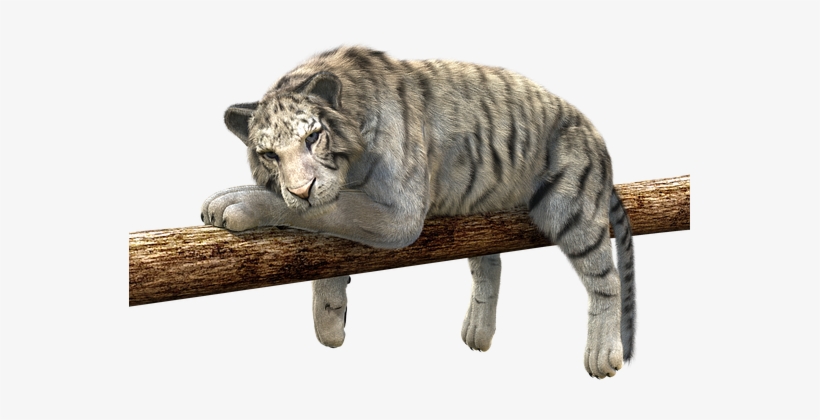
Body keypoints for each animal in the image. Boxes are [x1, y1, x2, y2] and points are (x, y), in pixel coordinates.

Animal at [201, 46, 636, 379]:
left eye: (313, 137)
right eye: (269, 154)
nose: (300, 189)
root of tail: (594, 133)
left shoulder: (398, 215)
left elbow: (324, 211)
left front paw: (234, 203)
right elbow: (327, 247)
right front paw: (330, 320)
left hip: (572, 208)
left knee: (606, 278)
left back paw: (602, 355)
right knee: (489, 265)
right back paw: (478, 334)